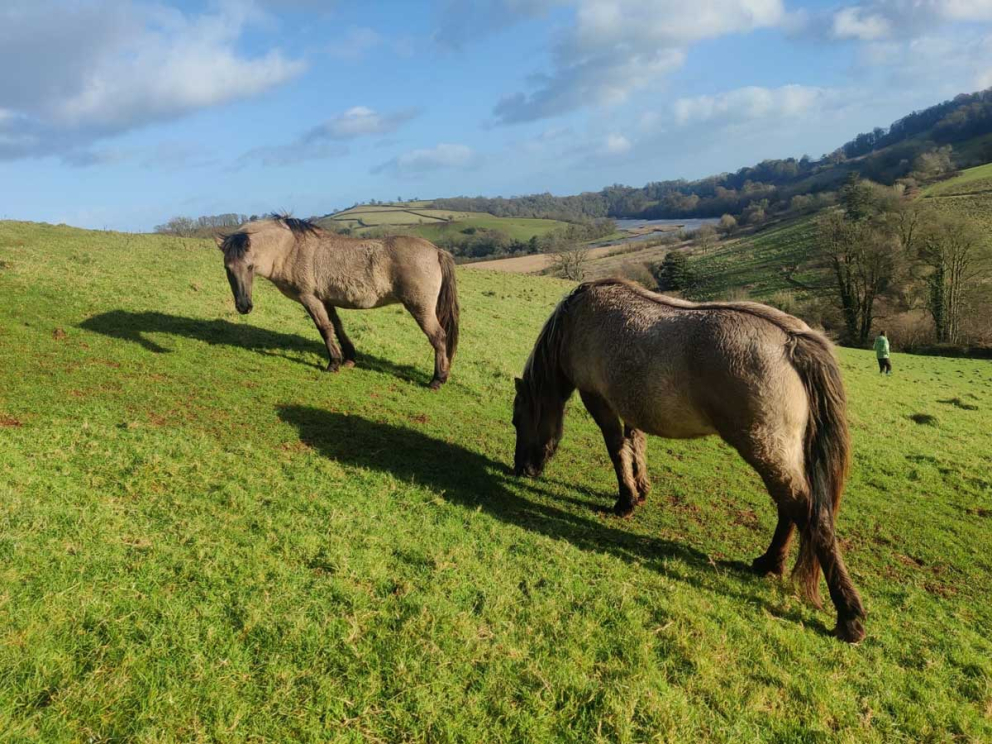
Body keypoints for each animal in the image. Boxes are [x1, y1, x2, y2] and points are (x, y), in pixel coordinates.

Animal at [216, 215, 459, 389]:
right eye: (227, 268)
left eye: (249, 266)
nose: (244, 306)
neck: (291, 249)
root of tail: (436, 250)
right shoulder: (326, 299)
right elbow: (338, 327)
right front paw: (349, 358)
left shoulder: (309, 298)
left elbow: (324, 328)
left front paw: (333, 363)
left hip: (421, 308)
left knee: (438, 337)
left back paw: (437, 379)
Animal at [512, 278, 866, 643]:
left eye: (517, 420)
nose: (521, 468)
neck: (577, 319)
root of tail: (792, 341)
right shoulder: (630, 405)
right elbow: (636, 443)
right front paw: (640, 490)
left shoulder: (599, 399)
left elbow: (617, 449)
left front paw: (625, 500)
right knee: (789, 508)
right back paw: (769, 563)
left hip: (765, 449)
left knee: (809, 515)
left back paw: (848, 615)